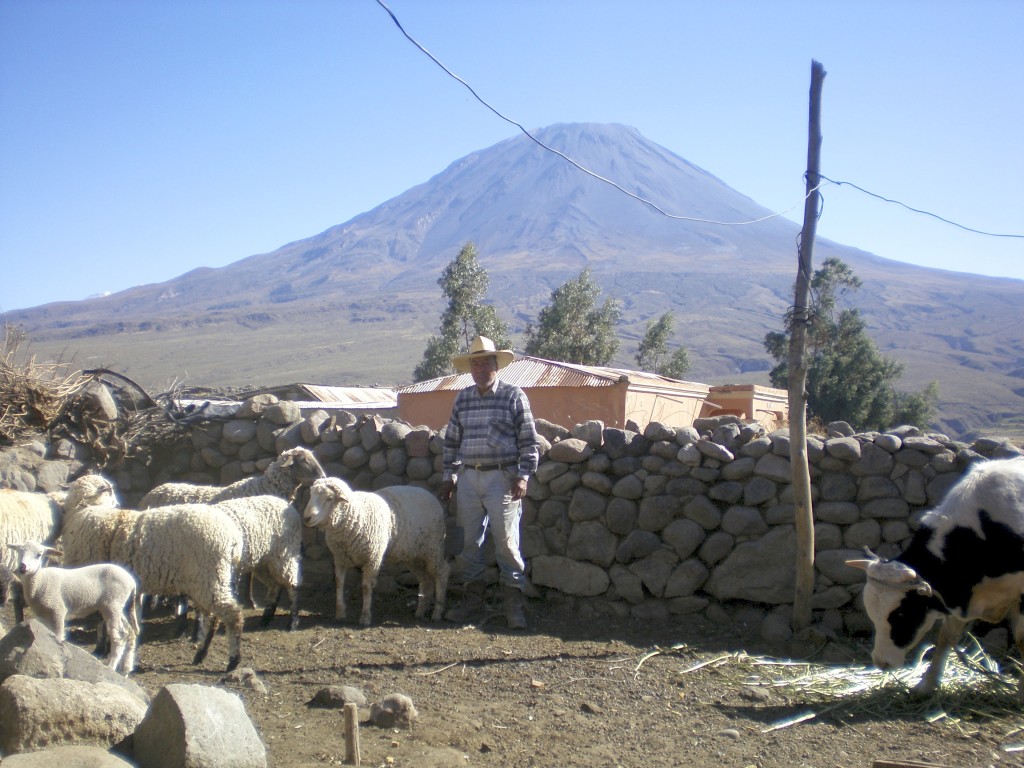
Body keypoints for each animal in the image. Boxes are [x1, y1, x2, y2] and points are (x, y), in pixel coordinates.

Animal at [9, 540, 140, 671]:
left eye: (39, 554)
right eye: (18, 552)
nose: (22, 567)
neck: (40, 582)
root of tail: (132, 582)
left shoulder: (57, 610)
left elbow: (58, 636)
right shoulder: (42, 615)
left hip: (113, 603)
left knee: (118, 637)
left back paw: (111, 666)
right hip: (117, 605)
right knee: (129, 633)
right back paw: (126, 669)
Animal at [301, 479, 450, 626]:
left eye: (329, 498)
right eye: (311, 495)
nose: (307, 518)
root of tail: (429, 494)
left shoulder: (372, 558)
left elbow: (366, 587)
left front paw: (365, 617)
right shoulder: (339, 558)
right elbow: (339, 583)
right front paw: (340, 613)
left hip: (433, 548)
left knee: (441, 573)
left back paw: (437, 612)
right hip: (413, 556)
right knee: (425, 580)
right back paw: (420, 611)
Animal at [843, 456, 1024, 696]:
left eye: (901, 614)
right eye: (872, 614)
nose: (882, 662)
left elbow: (1022, 639)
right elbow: (946, 637)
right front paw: (927, 684)